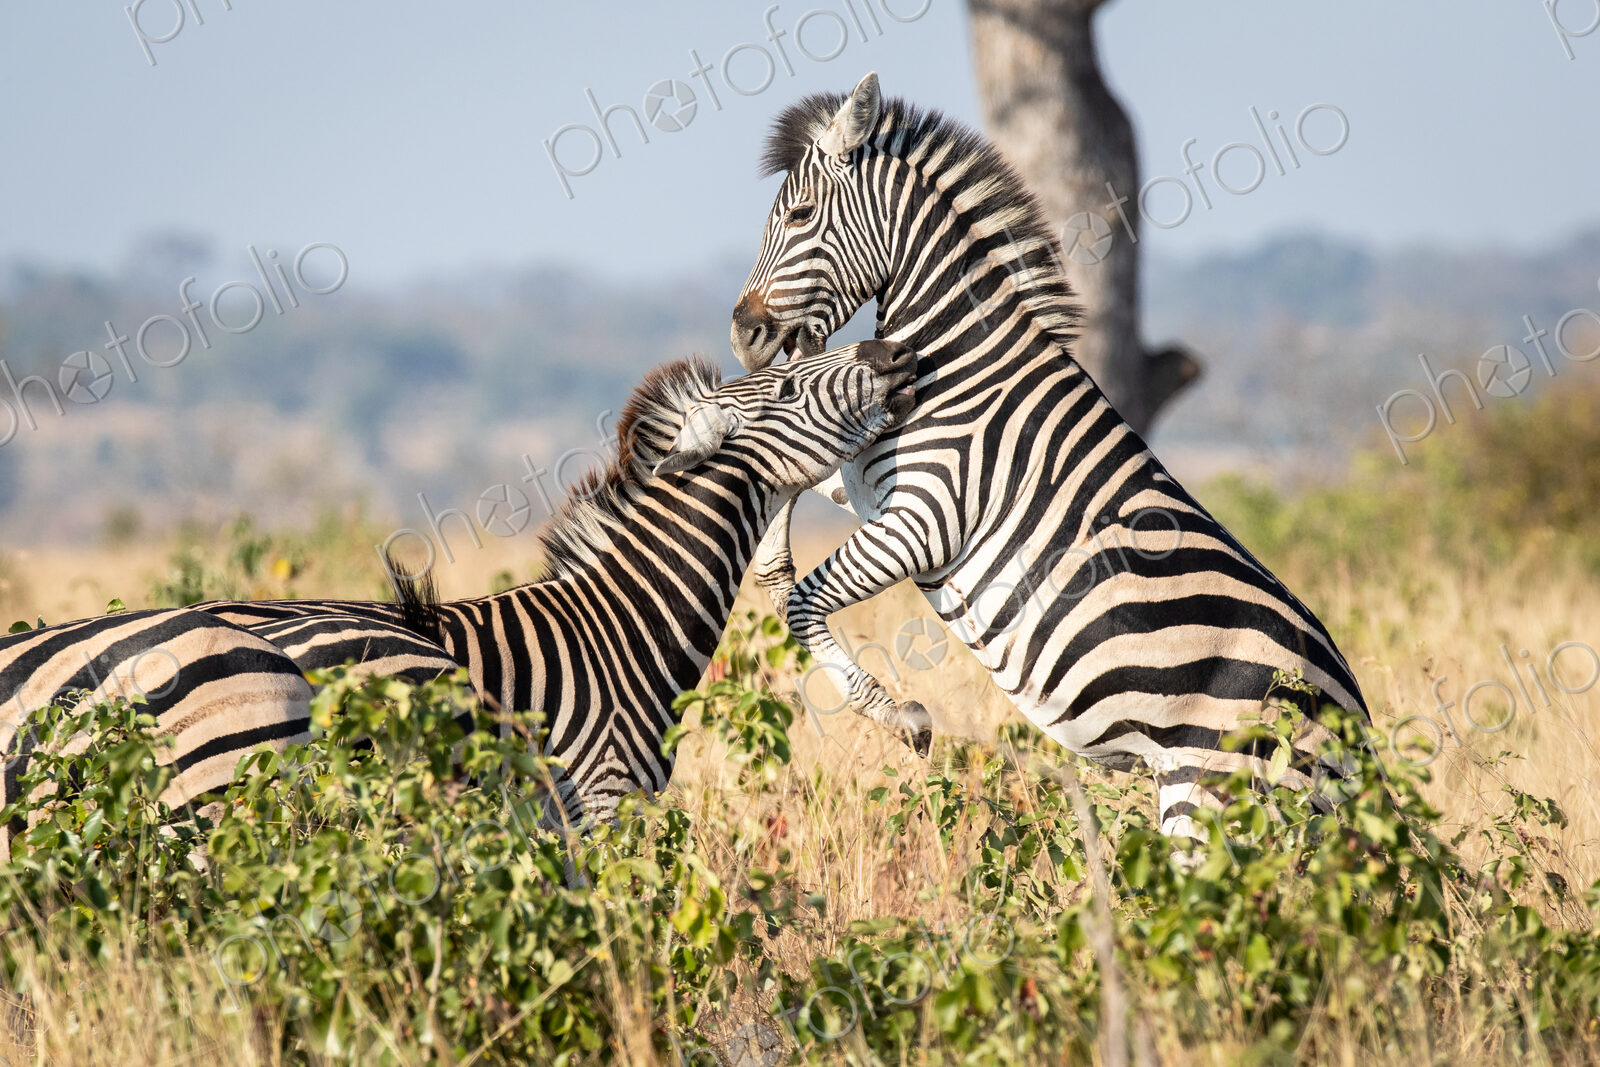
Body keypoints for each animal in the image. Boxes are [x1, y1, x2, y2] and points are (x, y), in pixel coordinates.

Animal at [729, 73, 1370, 839]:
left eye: (798, 215)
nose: (741, 333)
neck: (959, 359)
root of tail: (1357, 723)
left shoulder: (928, 518)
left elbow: (803, 603)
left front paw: (899, 716)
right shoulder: (866, 482)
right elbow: (792, 474)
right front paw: (768, 558)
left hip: (1216, 794)